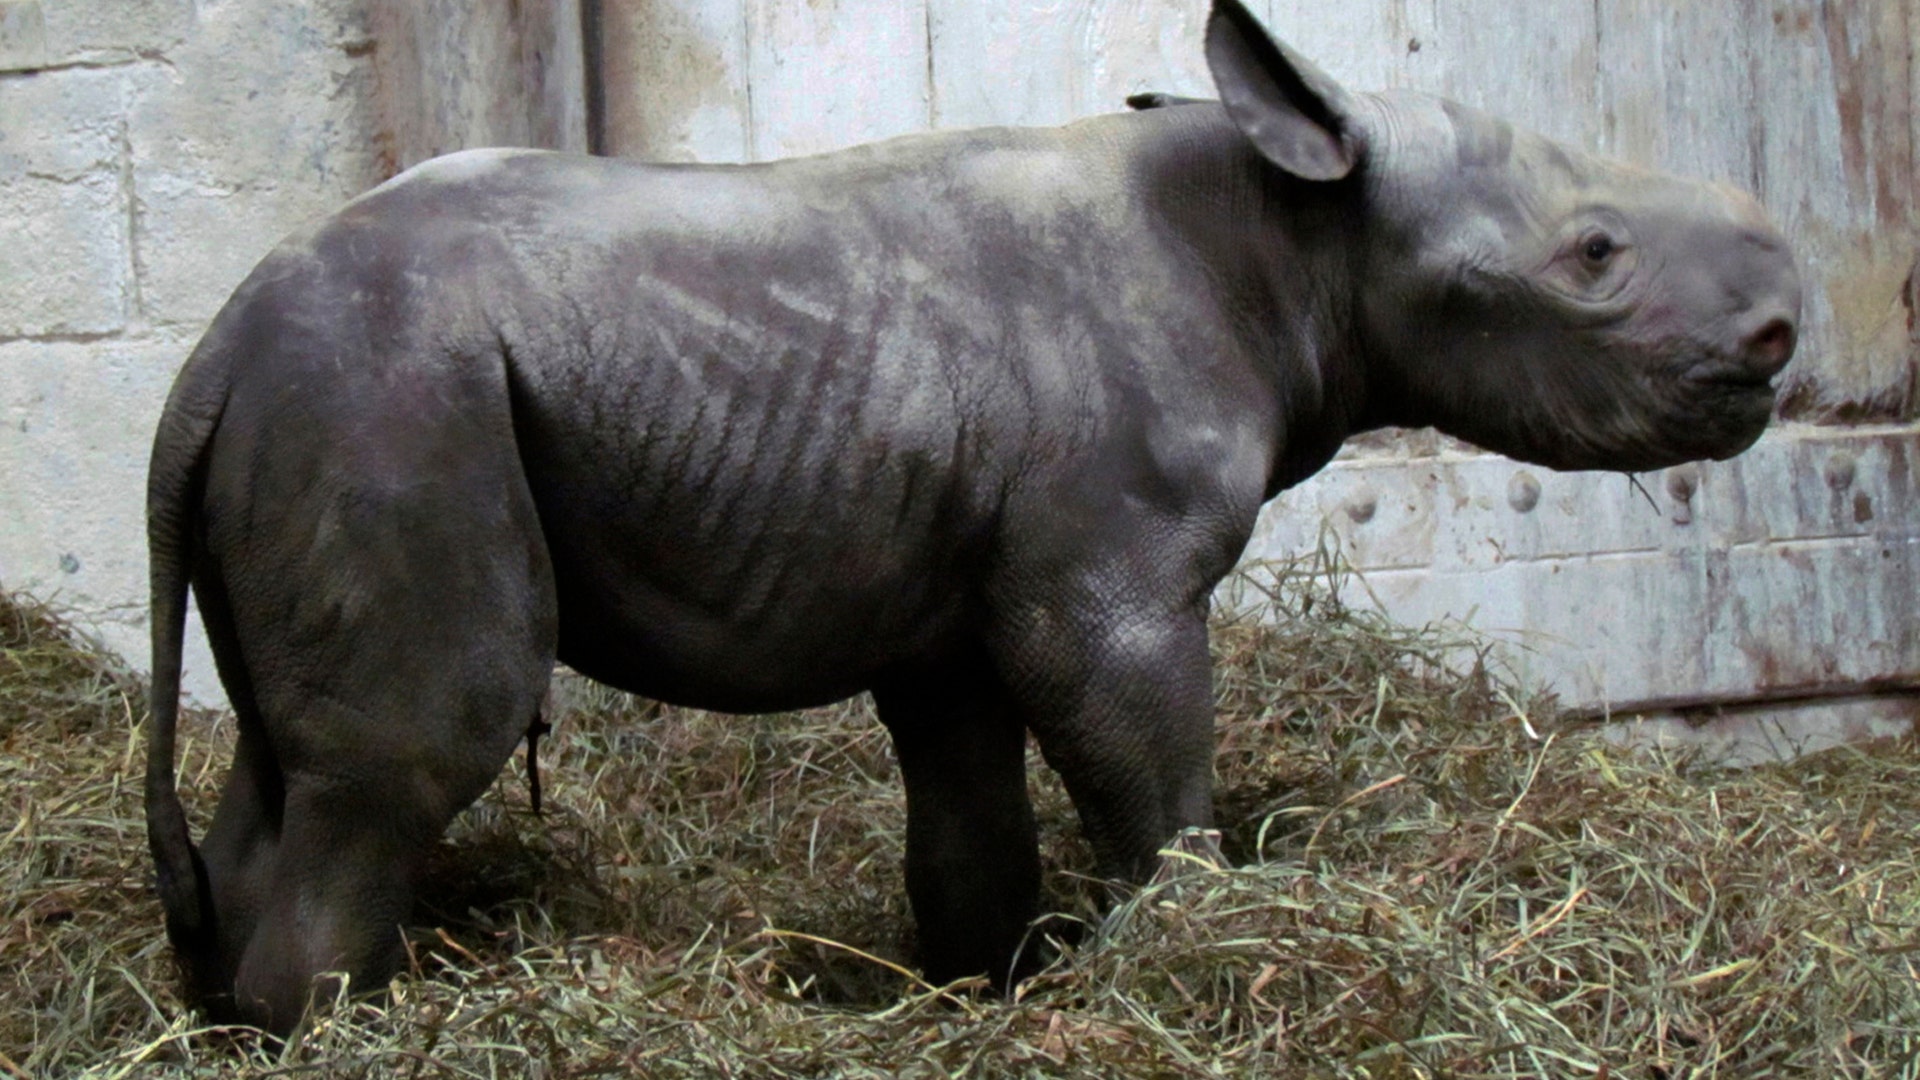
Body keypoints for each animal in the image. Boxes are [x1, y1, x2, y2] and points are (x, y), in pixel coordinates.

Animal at [145, 0, 1799, 1034]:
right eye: (1595, 256)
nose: (1785, 331)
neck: (1295, 235)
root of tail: (209, 357)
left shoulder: (949, 597)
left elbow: (966, 815)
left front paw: (991, 983)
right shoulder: (1108, 579)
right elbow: (1149, 774)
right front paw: (1195, 940)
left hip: (323, 409)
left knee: (289, 763)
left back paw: (227, 1016)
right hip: (391, 400)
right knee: (419, 746)